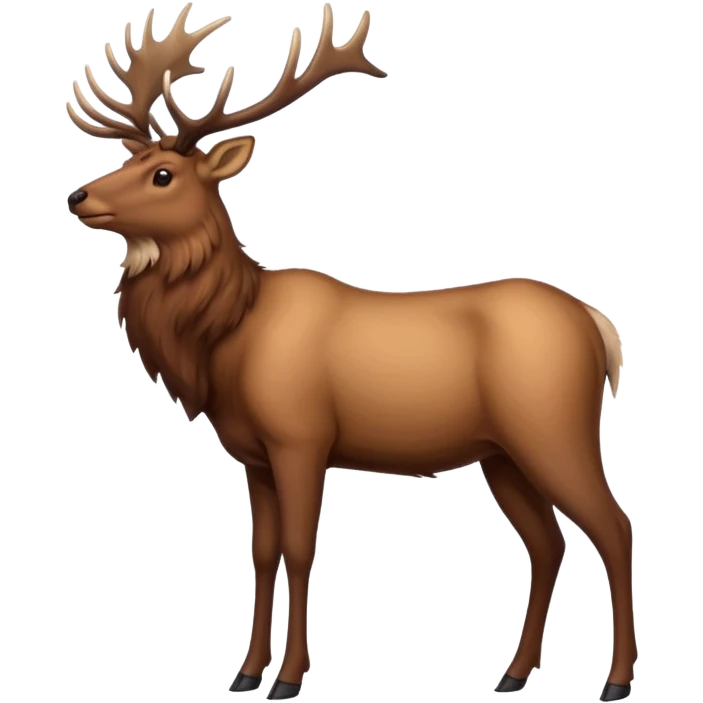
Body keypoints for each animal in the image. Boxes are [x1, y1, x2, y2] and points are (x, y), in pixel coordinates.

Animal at [65, 3, 637, 701]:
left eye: (163, 174)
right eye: (130, 159)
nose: (78, 195)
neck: (226, 338)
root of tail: (598, 325)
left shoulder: (301, 437)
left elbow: (298, 549)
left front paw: (287, 678)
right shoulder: (251, 454)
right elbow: (261, 553)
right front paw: (245, 672)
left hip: (555, 427)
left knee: (614, 526)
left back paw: (615, 680)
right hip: (501, 454)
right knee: (548, 542)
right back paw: (512, 673)